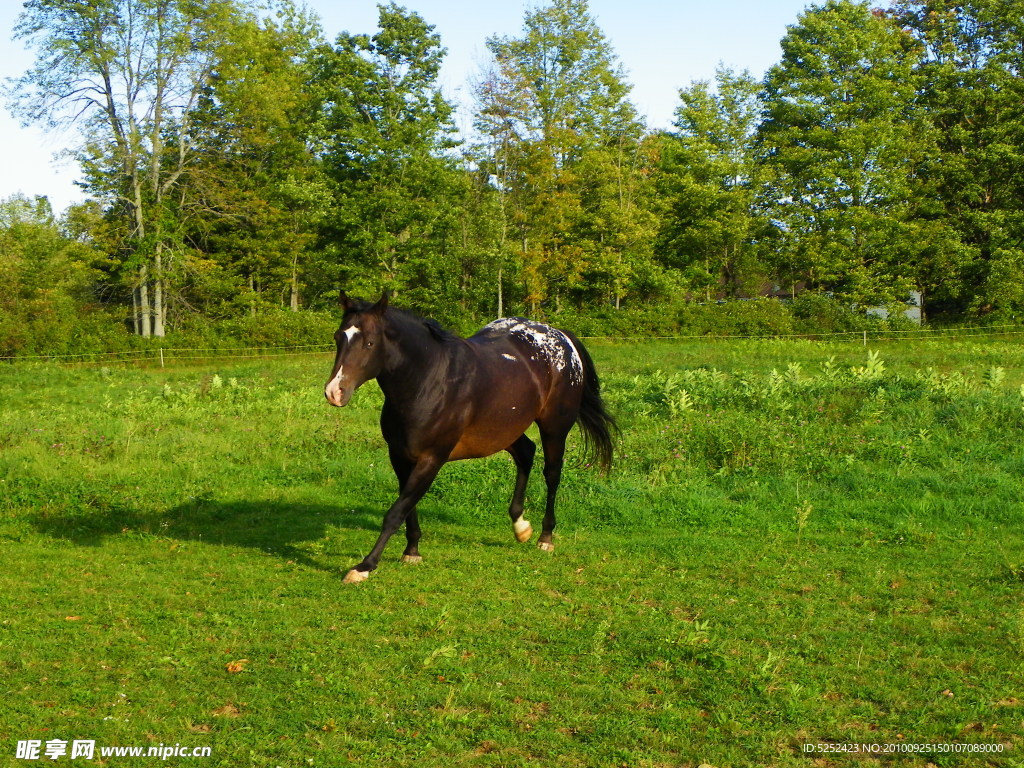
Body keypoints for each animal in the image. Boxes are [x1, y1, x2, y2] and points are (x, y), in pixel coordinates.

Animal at [325, 292, 614, 581]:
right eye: (338, 337)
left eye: (370, 342)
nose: (334, 392)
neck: (429, 381)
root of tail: (562, 337)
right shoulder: (400, 456)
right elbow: (408, 507)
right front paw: (412, 551)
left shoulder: (432, 459)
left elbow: (396, 512)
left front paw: (364, 566)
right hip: (504, 429)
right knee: (526, 453)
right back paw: (520, 527)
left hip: (554, 427)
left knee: (552, 474)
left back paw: (545, 537)